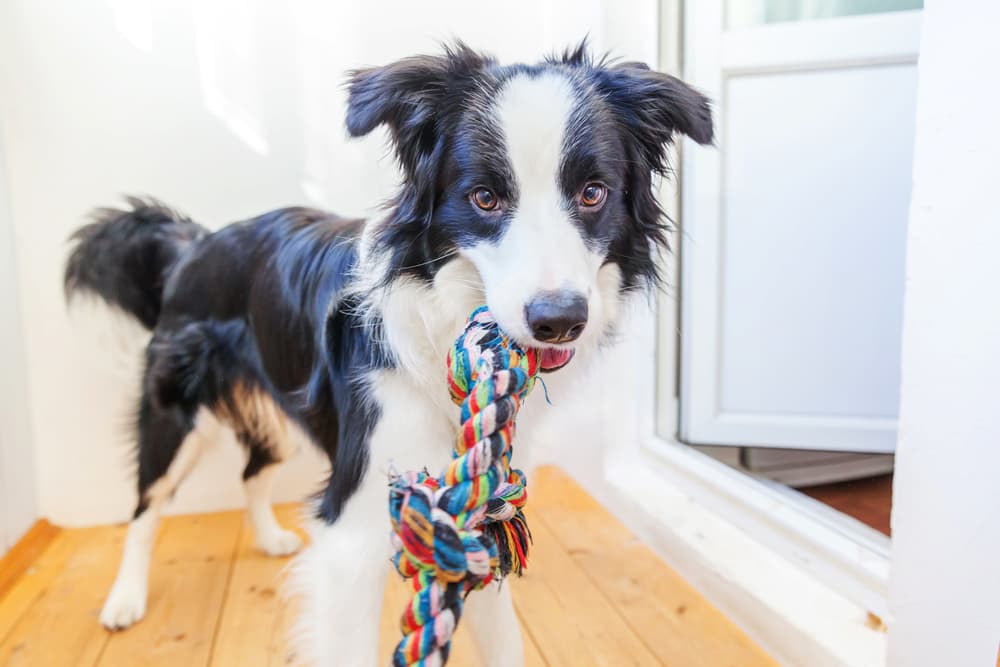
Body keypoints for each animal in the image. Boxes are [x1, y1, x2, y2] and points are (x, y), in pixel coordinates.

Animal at [64, 43, 712, 667]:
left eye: (592, 193)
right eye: (484, 198)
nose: (559, 321)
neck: (441, 325)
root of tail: (193, 242)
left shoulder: (477, 512)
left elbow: (505, 640)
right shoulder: (352, 536)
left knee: (252, 469)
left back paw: (270, 538)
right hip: (178, 414)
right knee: (146, 506)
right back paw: (124, 600)